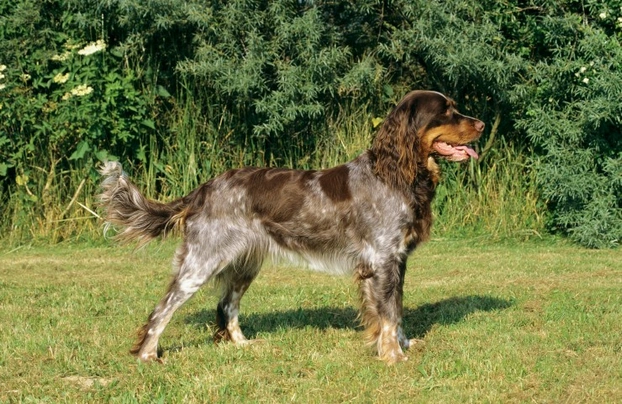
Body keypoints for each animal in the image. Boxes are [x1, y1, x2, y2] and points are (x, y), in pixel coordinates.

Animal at [98, 90, 488, 364]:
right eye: (446, 111)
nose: (483, 124)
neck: (395, 174)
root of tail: (204, 188)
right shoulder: (382, 261)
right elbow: (390, 314)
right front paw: (393, 356)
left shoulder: (396, 260)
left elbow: (396, 311)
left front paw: (401, 345)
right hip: (201, 261)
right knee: (162, 309)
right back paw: (147, 355)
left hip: (245, 264)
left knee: (227, 306)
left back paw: (244, 345)